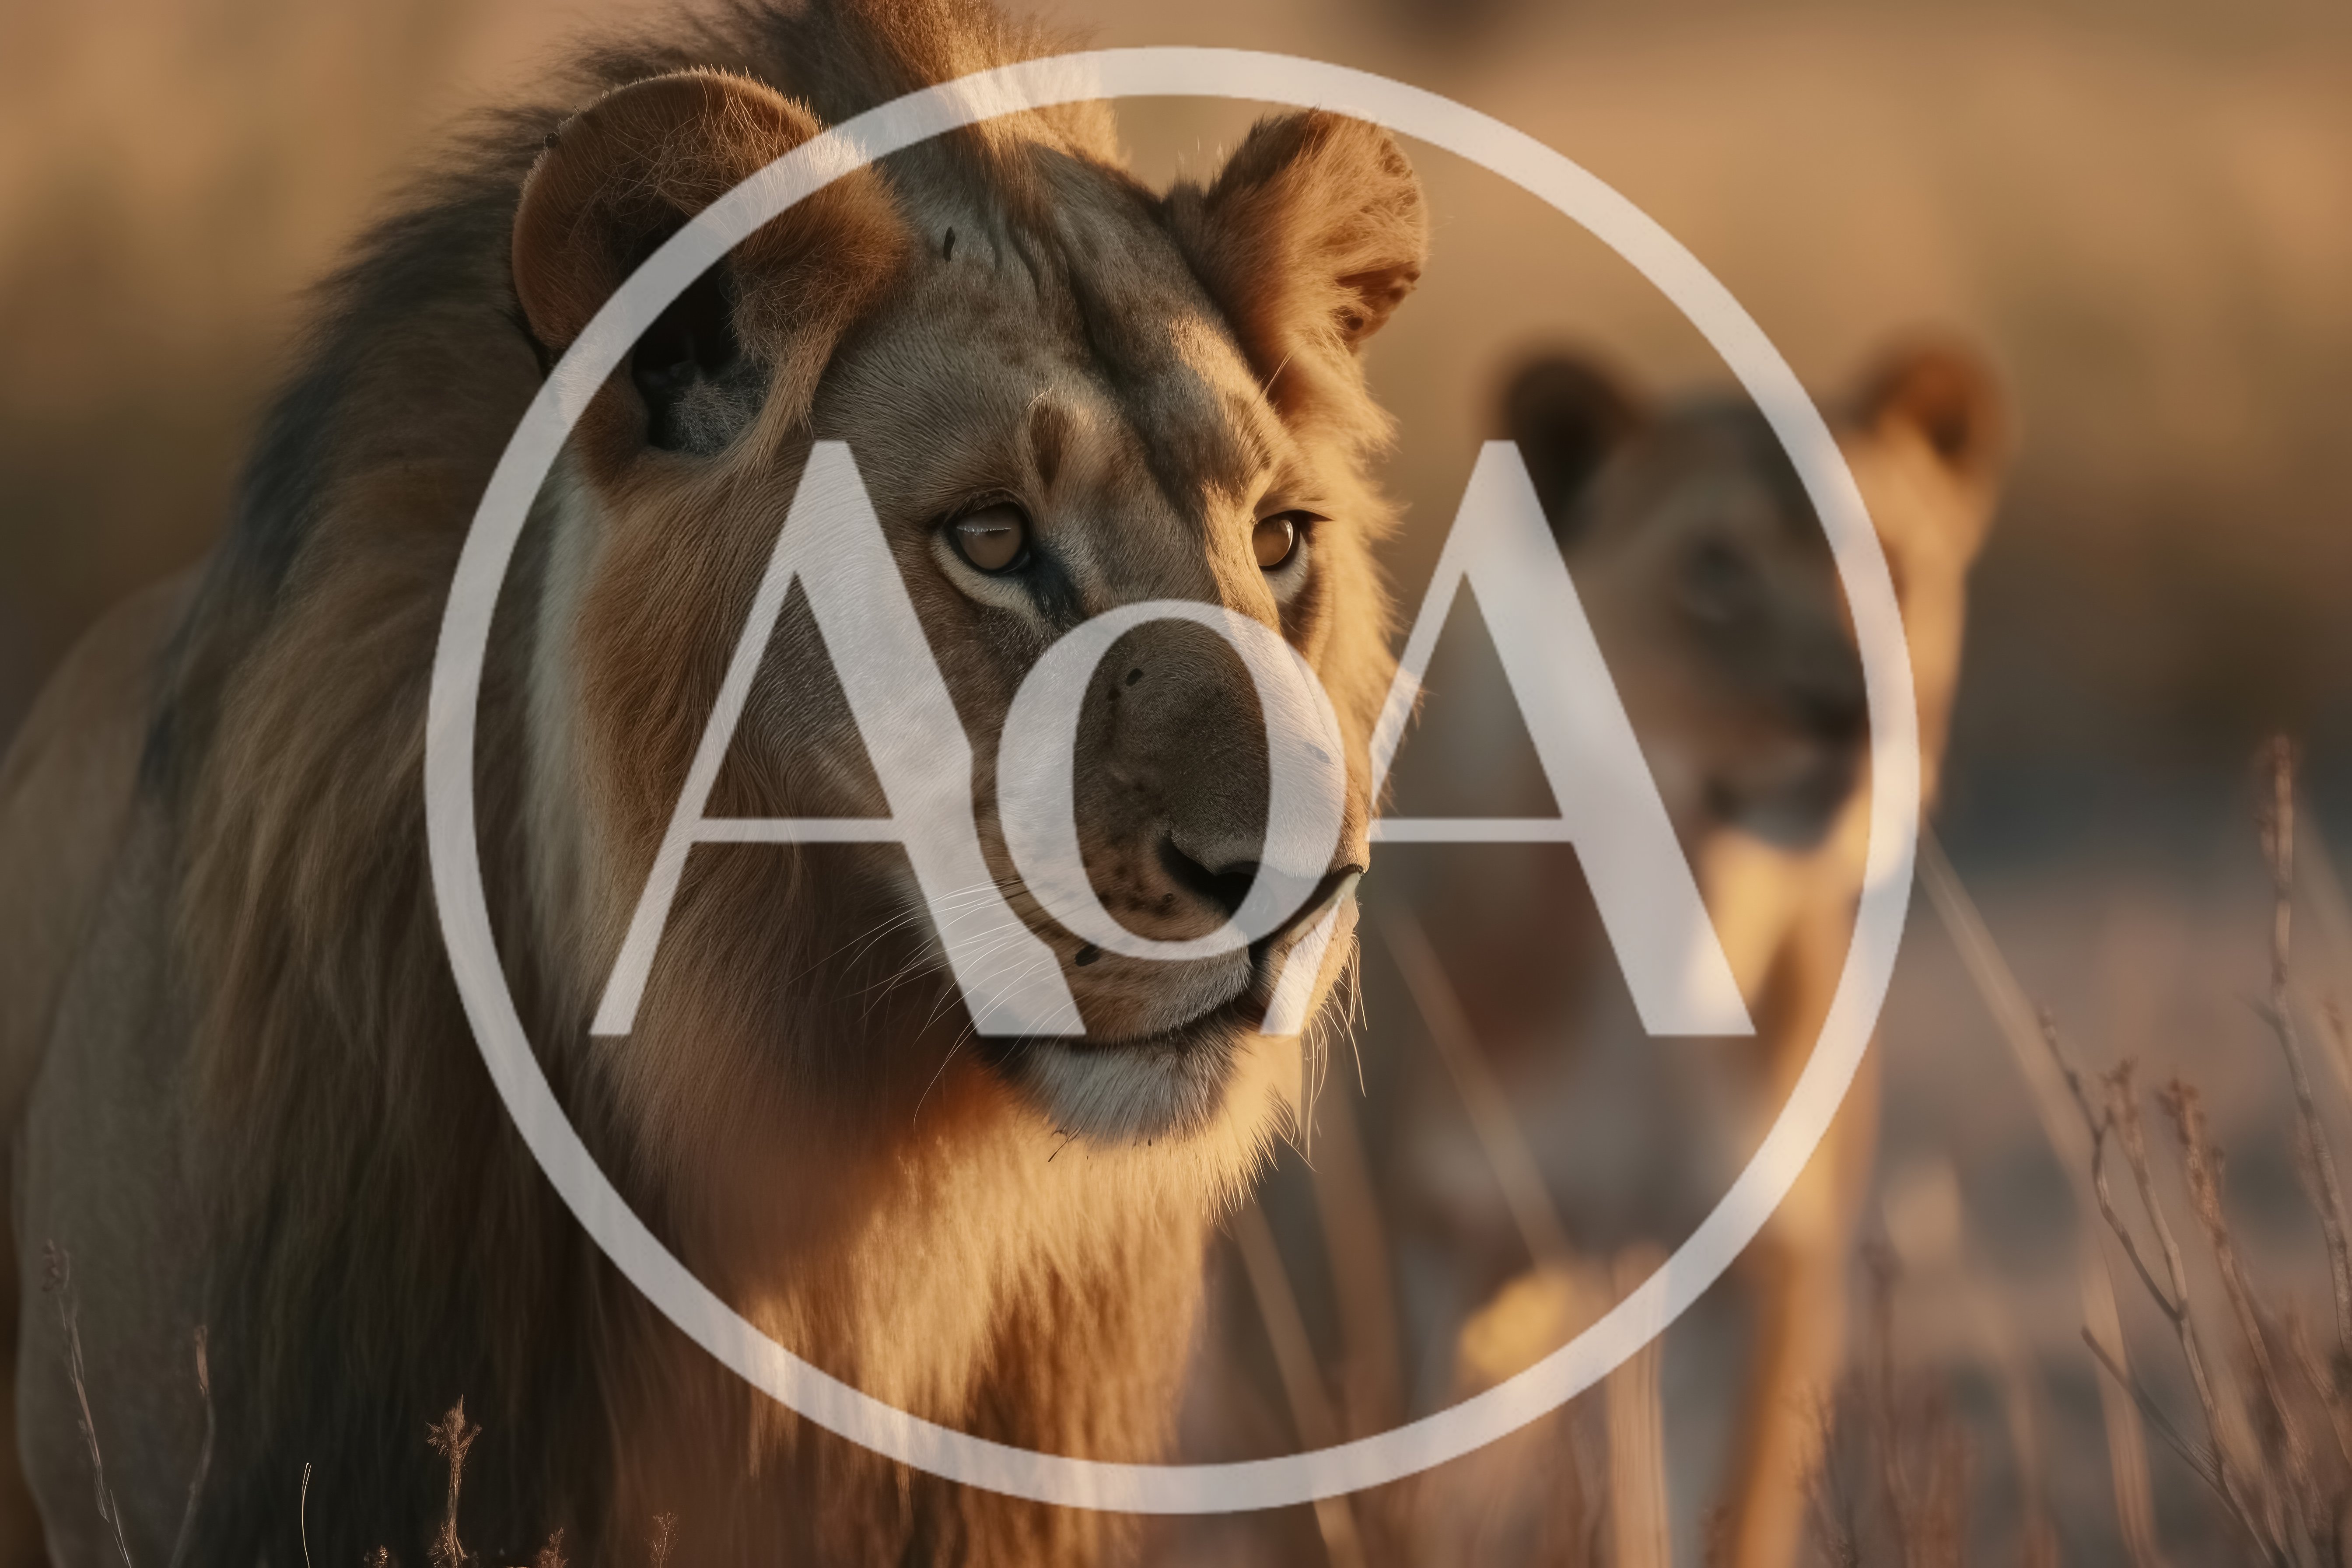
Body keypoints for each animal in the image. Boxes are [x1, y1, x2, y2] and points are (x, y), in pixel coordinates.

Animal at [1380, 339, 2006, 1566]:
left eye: (1896, 558)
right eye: (1717, 568)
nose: (1848, 711)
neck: (1678, 918)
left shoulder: (1764, 1272)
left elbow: (1729, 1510)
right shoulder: (1371, 1247)